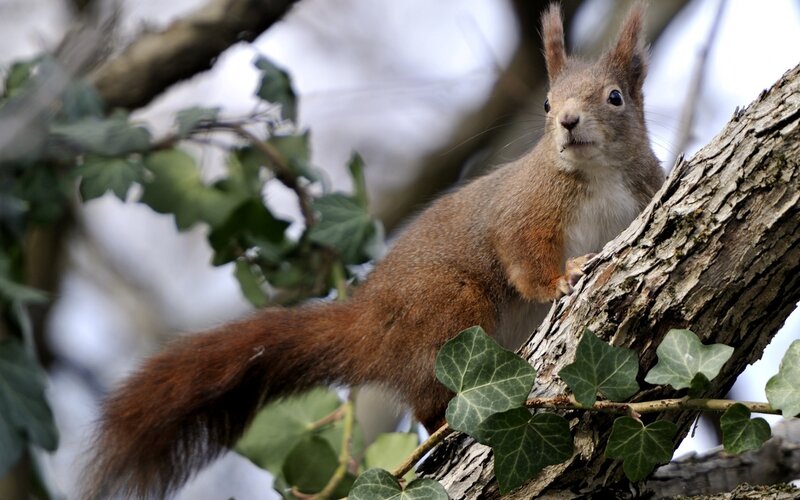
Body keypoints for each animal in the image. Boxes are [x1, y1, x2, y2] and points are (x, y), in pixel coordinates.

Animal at [84, 3, 665, 498]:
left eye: (614, 97)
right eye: (546, 102)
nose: (567, 121)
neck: (597, 175)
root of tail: (369, 320)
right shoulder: (524, 210)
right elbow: (521, 256)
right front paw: (561, 277)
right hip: (447, 311)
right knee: (431, 400)